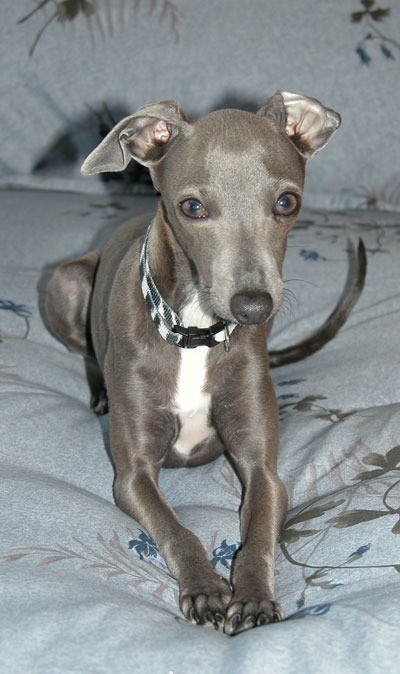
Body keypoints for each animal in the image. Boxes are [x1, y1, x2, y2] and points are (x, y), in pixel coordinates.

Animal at [46, 92, 366, 632]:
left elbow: (258, 531)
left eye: (287, 202)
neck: (193, 334)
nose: (254, 308)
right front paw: (204, 589)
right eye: (192, 207)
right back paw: (97, 393)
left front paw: (252, 596)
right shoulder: (132, 475)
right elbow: (176, 530)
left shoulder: (263, 469)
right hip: (64, 281)